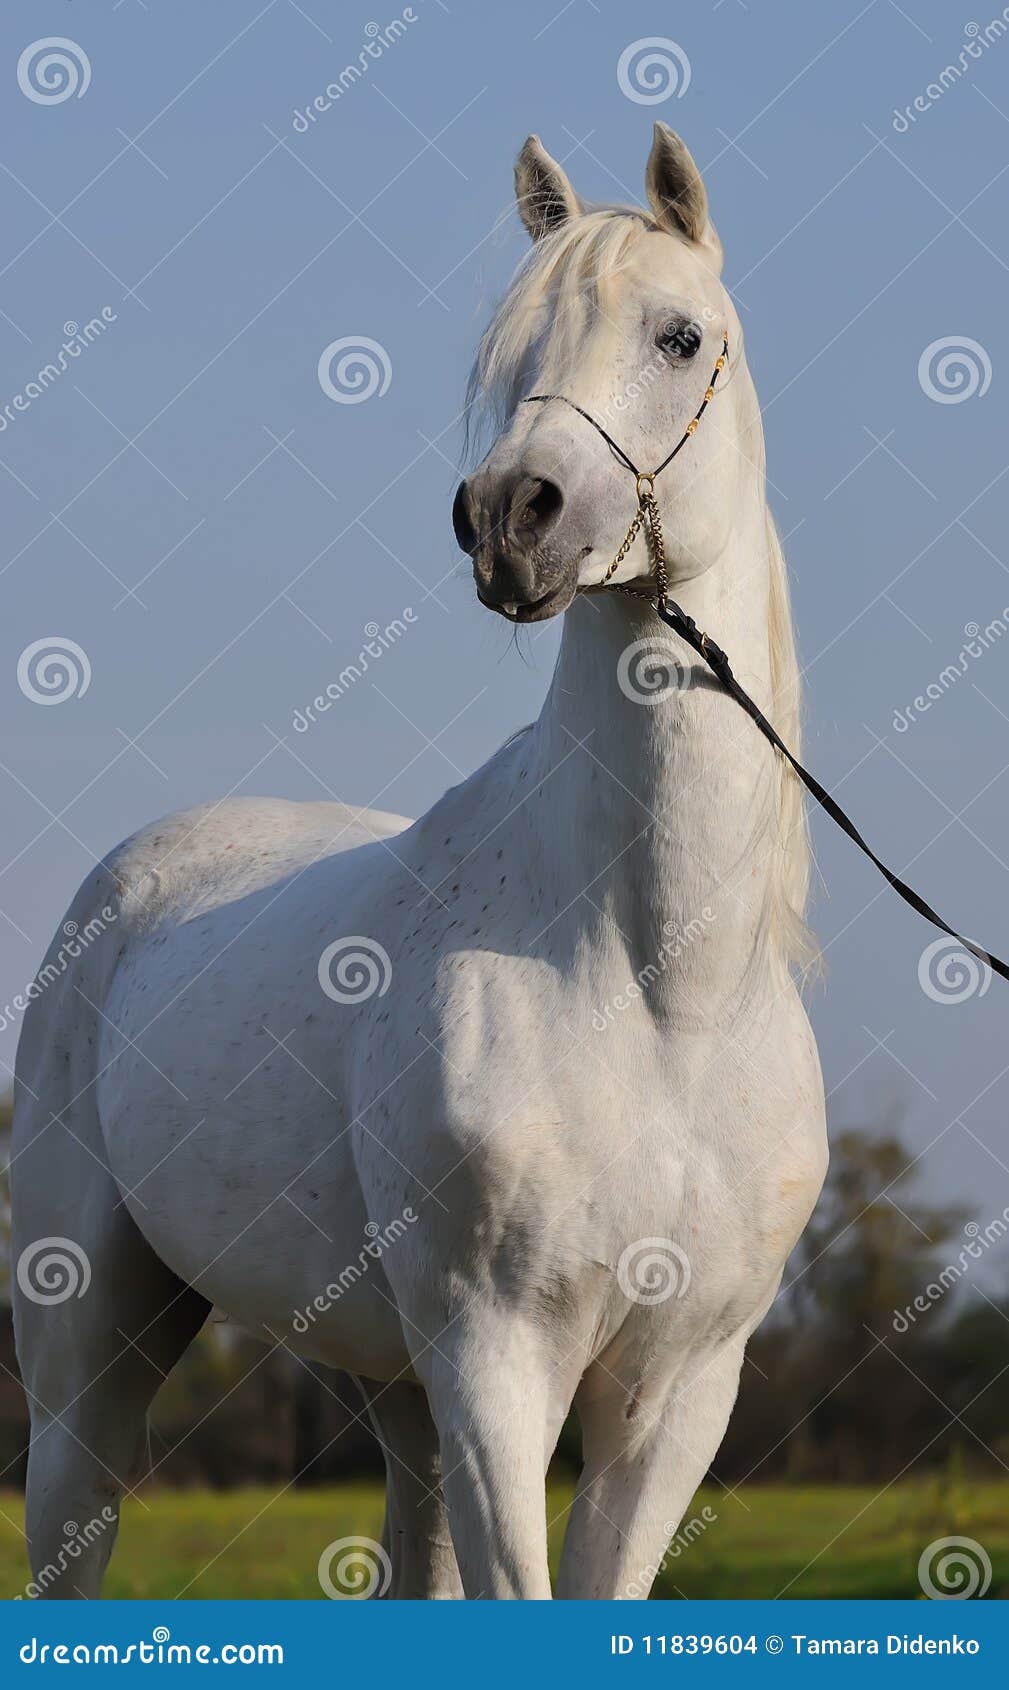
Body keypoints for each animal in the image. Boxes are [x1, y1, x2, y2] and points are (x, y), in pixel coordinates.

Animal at [11, 124, 827, 1600]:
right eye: (514, 352)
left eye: (679, 334)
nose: (512, 515)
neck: (658, 985)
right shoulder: (497, 1363)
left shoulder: (678, 1393)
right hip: (92, 1355)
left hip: (393, 1388)